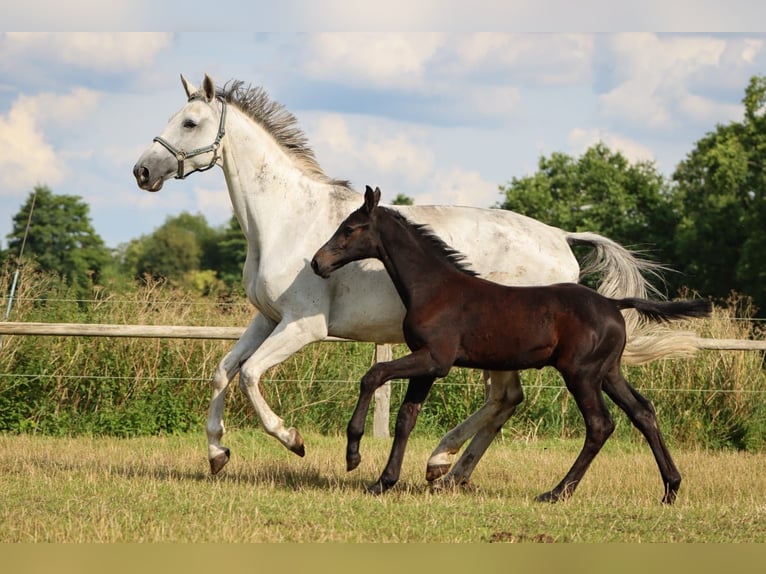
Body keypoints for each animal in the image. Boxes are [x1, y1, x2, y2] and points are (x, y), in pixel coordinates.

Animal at [134, 74, 704, 490]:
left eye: (189, 122)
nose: (142, 171)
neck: (287, 220)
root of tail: (562, 238)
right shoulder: (266, 318)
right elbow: (222, 372)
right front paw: (217, 454)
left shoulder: (302, 326)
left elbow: (251, 375)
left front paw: (294, 440)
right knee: (509, 401)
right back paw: (450, 471)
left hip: (512, 352)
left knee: (508, 400)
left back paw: (442, 463)